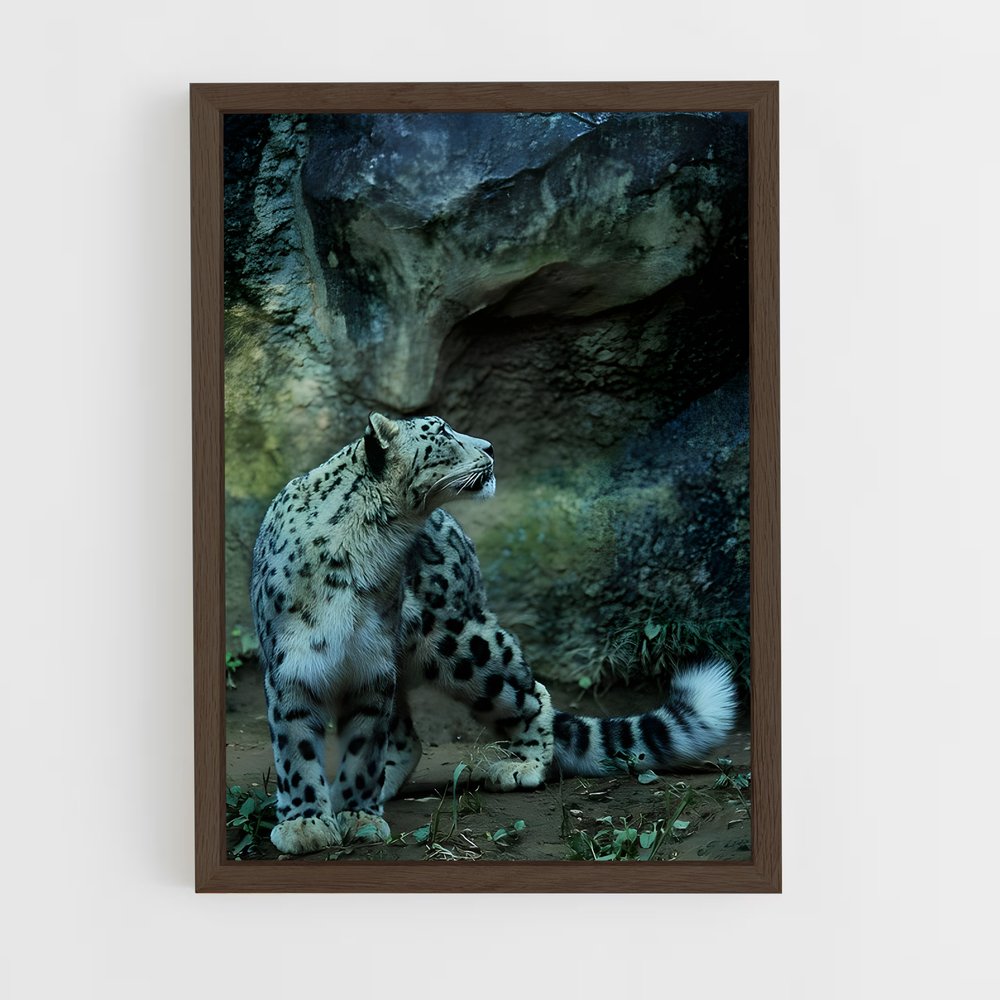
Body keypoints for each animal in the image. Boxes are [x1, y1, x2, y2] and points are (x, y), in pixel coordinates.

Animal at [250, 412, 738, 855]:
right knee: (407, 734)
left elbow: (363, 747)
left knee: (529, 691)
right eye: (442, 433)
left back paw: (523, 765)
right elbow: (297, 749)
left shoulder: (370, 669)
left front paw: (356, 815)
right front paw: (307, 823)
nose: (488, 446)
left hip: (460, 644)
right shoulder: (295, 665)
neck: (367, 549)